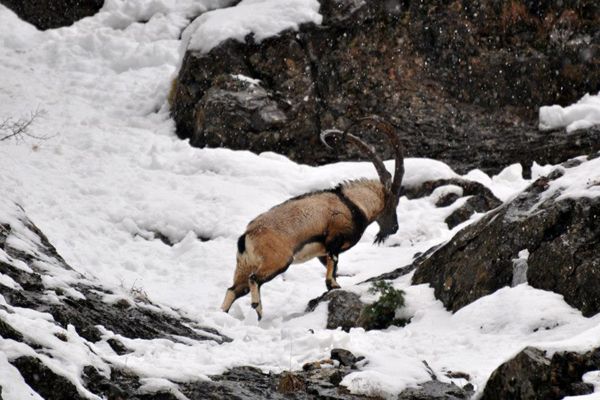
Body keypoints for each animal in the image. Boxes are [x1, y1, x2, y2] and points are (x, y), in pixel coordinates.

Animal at [220, 115, 404, 318]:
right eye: (393, 202)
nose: (394, 228)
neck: (351, 203)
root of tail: (246, 236)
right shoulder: (334, 240)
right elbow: (333, 268)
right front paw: (334, 286)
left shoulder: (322, 252)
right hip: (278, 261)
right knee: (254, 279)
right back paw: (257, 308)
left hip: (243, 266)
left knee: (233, 290)